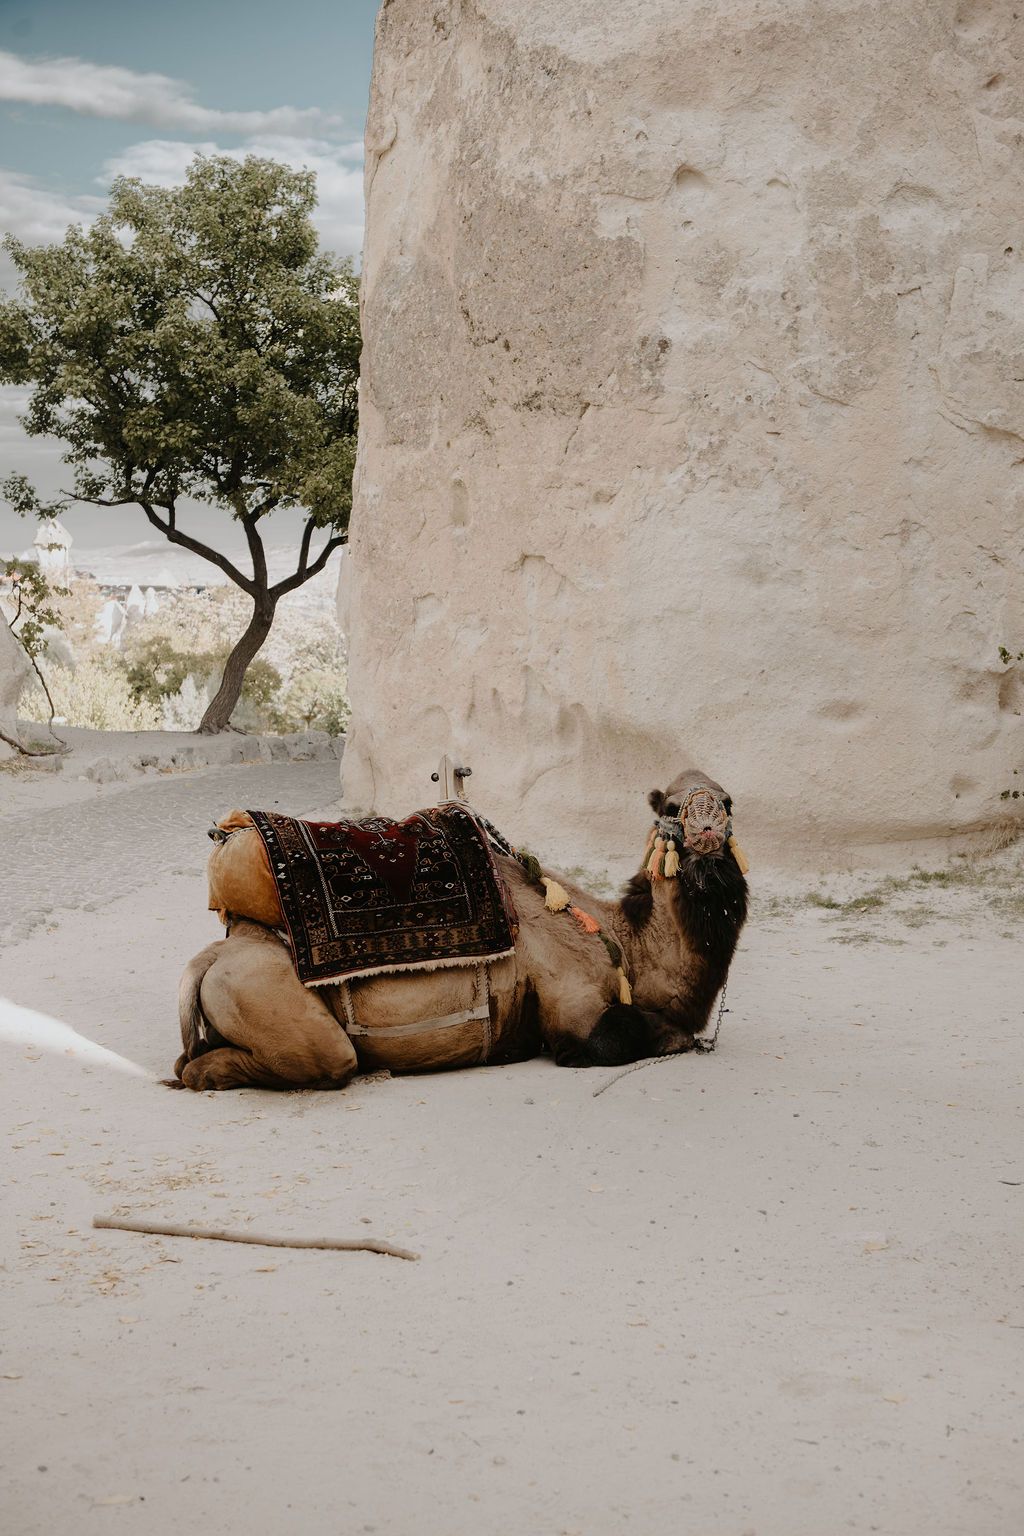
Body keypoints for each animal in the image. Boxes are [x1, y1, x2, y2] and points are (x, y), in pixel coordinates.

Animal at [171, 769, 748, 1091]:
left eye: (729, 802)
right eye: (671, 806)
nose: (707, 826)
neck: (621, 942)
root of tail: (207, 961)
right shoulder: (574, 1005)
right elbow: (630, 1037)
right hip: (276, 1003)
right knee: (312, 1060)